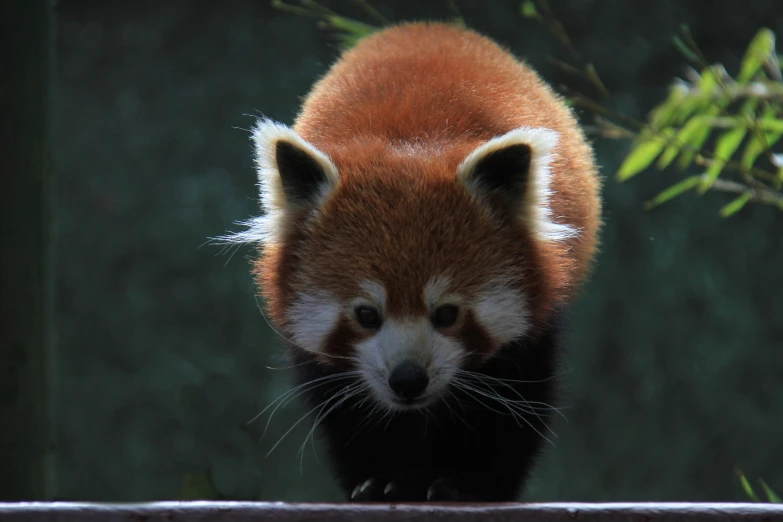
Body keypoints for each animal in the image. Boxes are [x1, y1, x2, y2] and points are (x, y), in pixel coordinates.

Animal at [224, 21, 604, 500]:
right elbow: (349, 414)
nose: (407, 380)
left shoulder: (536, 318)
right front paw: (378, 480)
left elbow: (510, 410)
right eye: (366, 315)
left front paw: (469, 485)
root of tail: (424, 28)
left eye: (447, 314)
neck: (410, 146)